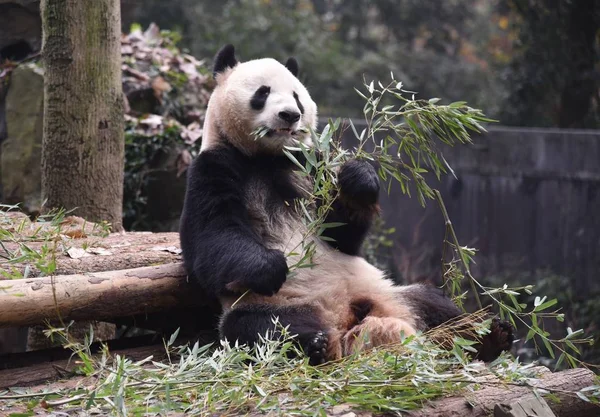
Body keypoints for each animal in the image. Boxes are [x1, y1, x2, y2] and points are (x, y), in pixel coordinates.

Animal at [179, 44, 516, 364]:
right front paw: (272, 265)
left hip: (386, 291)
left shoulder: (310, 166)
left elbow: (341, 234)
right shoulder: (215, 167)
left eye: (297, 97)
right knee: (259, 328)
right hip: (271, 304)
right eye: (263, 93)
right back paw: (315, 344)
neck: (268, 158)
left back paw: (488, 335)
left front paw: (359, 178)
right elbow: (212, 241)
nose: (290, 115)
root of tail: (346, 320)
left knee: (432, 302)